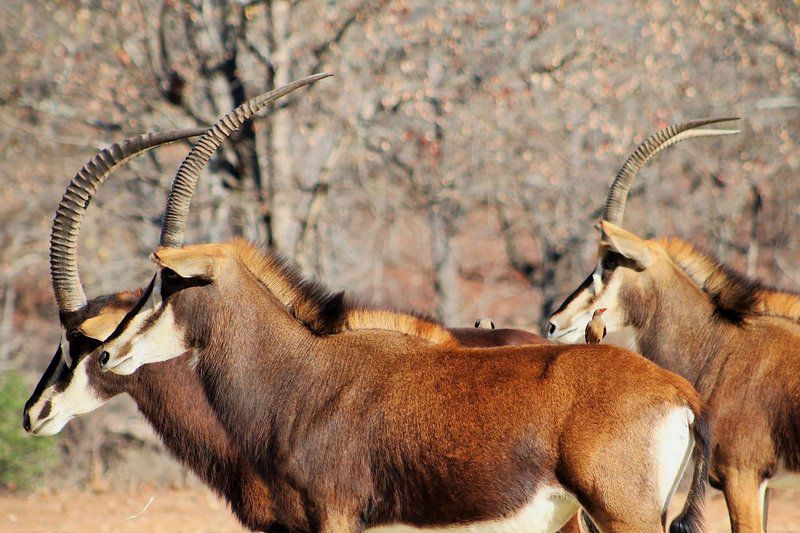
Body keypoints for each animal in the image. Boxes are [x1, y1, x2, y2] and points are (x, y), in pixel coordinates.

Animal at [97, 80, 708, 532]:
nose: (106, 353)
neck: (303, 373)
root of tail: (681, 394)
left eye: (169, 280)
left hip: (622, 515)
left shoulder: (335, 517)